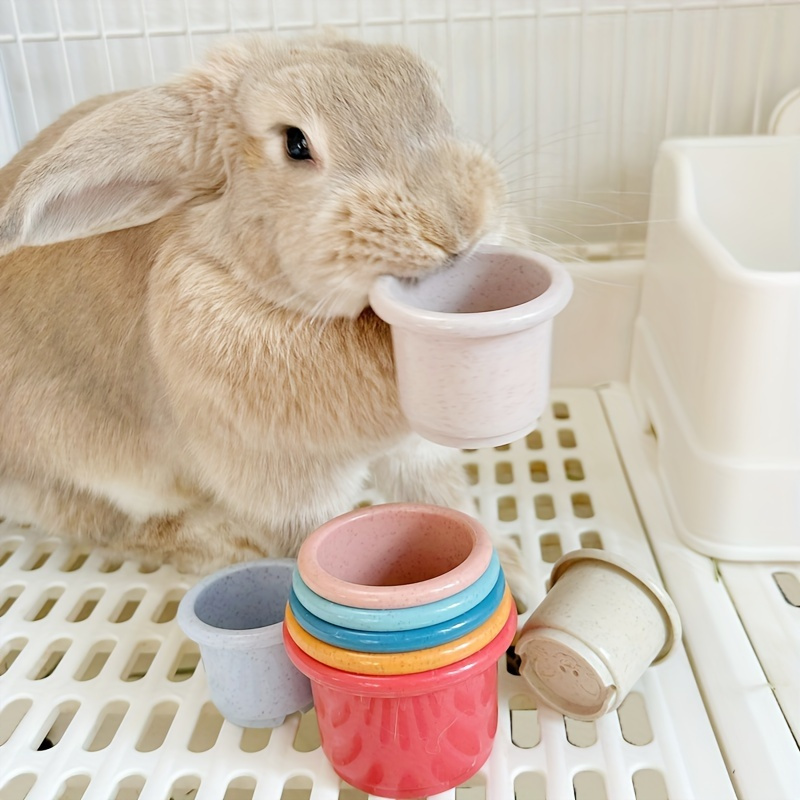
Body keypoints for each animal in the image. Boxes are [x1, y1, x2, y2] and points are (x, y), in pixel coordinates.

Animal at [0, 31, 532, 608]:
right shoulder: (285, 487)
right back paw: (228, 543)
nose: (461, 223)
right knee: (112, 525)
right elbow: (312, 537)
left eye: (433, 96)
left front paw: (517, 575)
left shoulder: (417, 455)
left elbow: (447, 499)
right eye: (295, 143)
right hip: (89, 467)